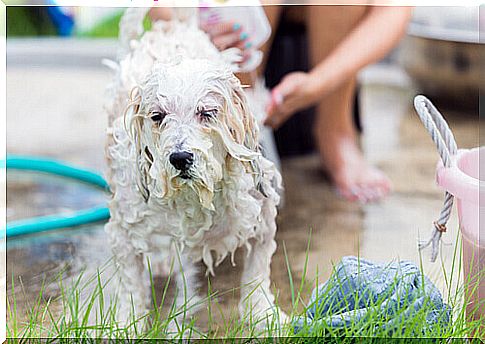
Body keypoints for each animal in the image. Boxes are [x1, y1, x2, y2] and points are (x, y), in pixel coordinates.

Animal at [102, 7, 284, 326]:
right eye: (157, 116)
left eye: (207, 112)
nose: (180, 157)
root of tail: (171, 26)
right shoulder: (125, 226)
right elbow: (130, 285)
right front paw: (125, 324)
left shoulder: (259, 212)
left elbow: (258, 269)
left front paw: (263, 313)